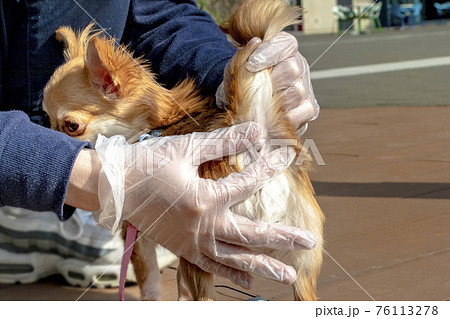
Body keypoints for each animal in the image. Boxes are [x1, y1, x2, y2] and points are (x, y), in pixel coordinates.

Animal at [43, 0, 324, 302]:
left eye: (71, 126)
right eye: (46, 119)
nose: (52, 136)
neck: (148, 128)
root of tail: (251, 127)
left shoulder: (138, 238)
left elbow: (150, 285)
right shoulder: (176, 236)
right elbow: (179, 284)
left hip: (204, 247)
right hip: (295, 262)